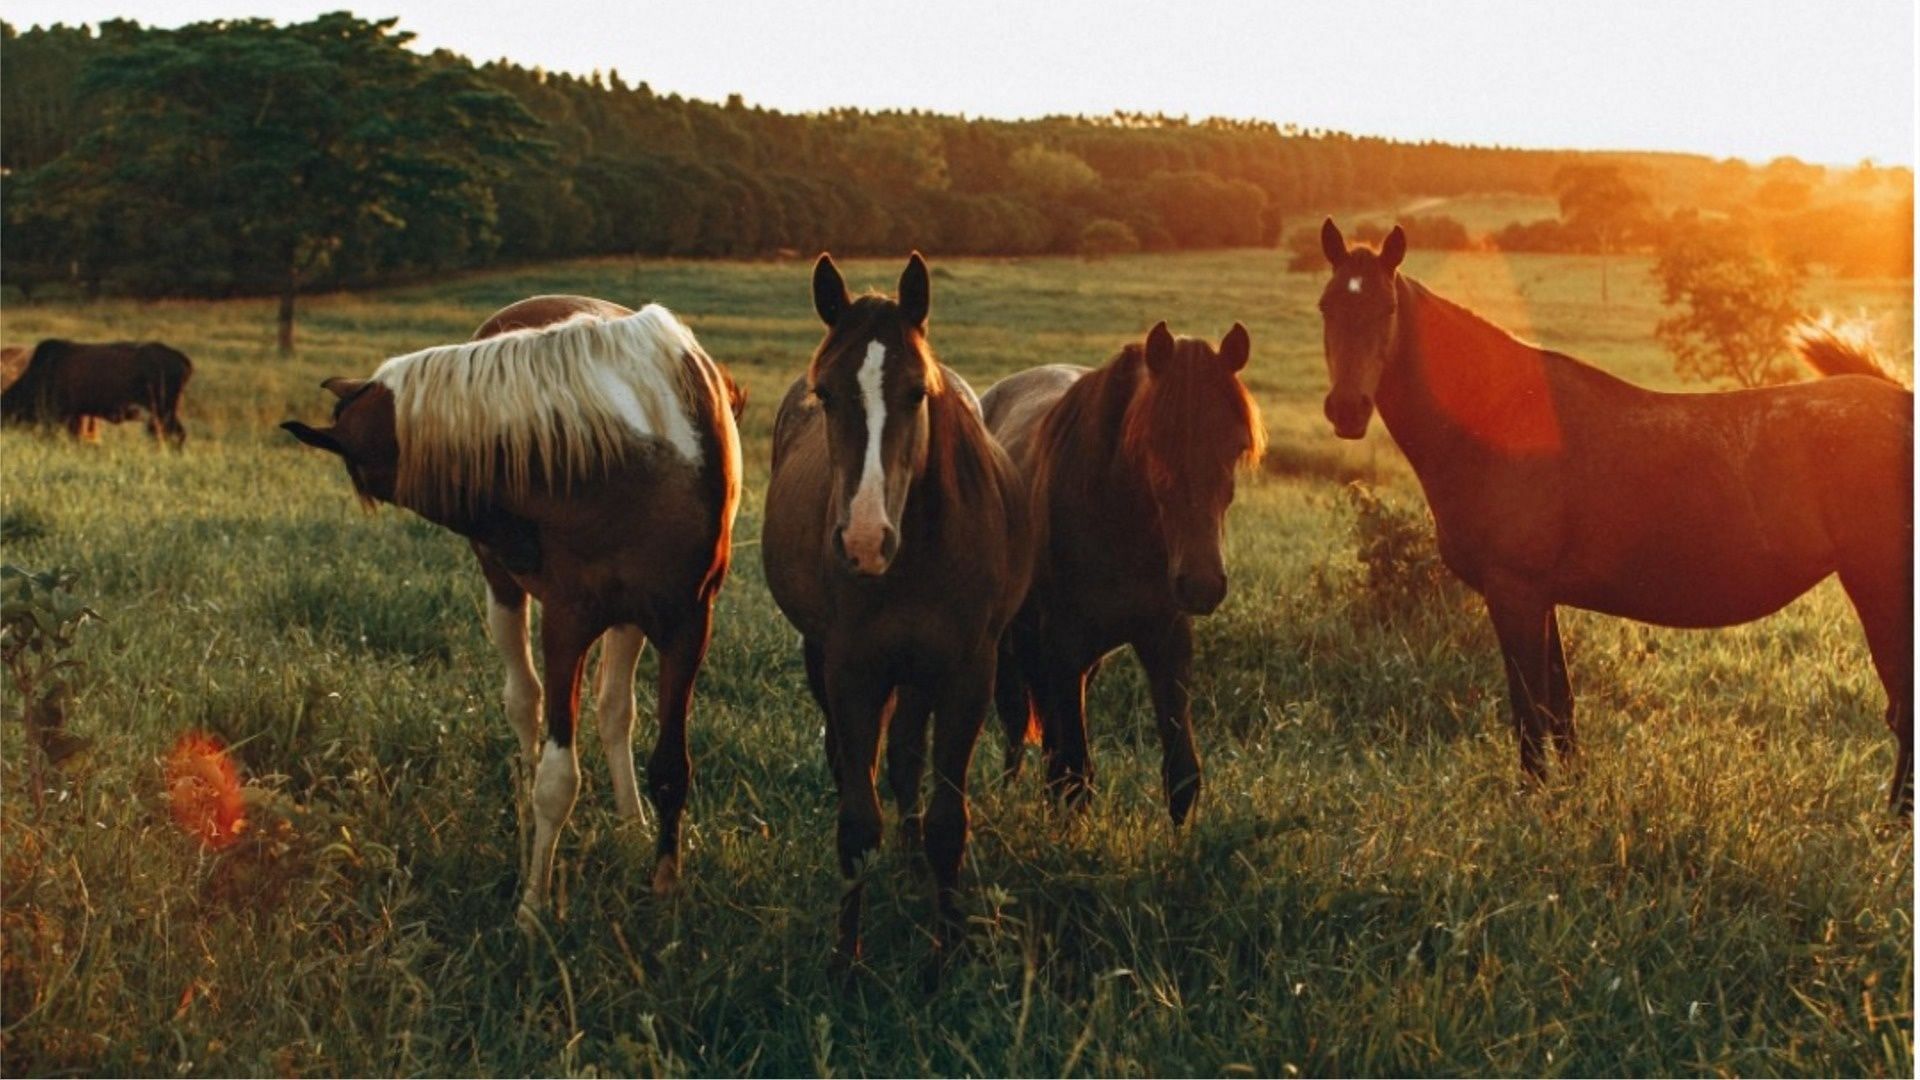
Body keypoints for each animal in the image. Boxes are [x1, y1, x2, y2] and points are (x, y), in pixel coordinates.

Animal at [280, 292, 744, 907]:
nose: (516, 546)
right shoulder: (566, 623)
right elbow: (557, 778)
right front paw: (533, 904)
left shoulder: (687, 622)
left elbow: (671, 765)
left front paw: (664, 885)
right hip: (508, 596)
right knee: (525, 701)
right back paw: (528, 816)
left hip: (630, 620)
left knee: (613, 711)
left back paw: (628, 823)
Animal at [760, 251, 1036, 968]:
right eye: (826, 393)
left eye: (917, 392)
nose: (864, 540)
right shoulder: (852, 671)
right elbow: (857, 822)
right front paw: (846, 960)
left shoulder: (967, 673)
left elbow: (946, 821)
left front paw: (946, 952)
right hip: (830, 660)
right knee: (858, 763)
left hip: (920, 675)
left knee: (909, 758)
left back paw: (913, 866)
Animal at [983, 319, 1267, 822]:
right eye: (1153, 443)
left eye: (1236, 447)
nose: (1202, 585)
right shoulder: (1063, 643)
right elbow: (1075, 774)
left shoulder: (1165, 638)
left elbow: (1182, 774)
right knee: (1018, 725)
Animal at [1313, 216, 1912, 807]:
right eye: (1326, 306)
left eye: (1388, 309)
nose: (1346, 410)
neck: (1501, 418)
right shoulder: (1540, 596)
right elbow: (1560, 707)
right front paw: (1574, 795)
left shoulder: (1514, 591)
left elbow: (1529, 708)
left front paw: (1533, 799)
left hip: (1879, 587)